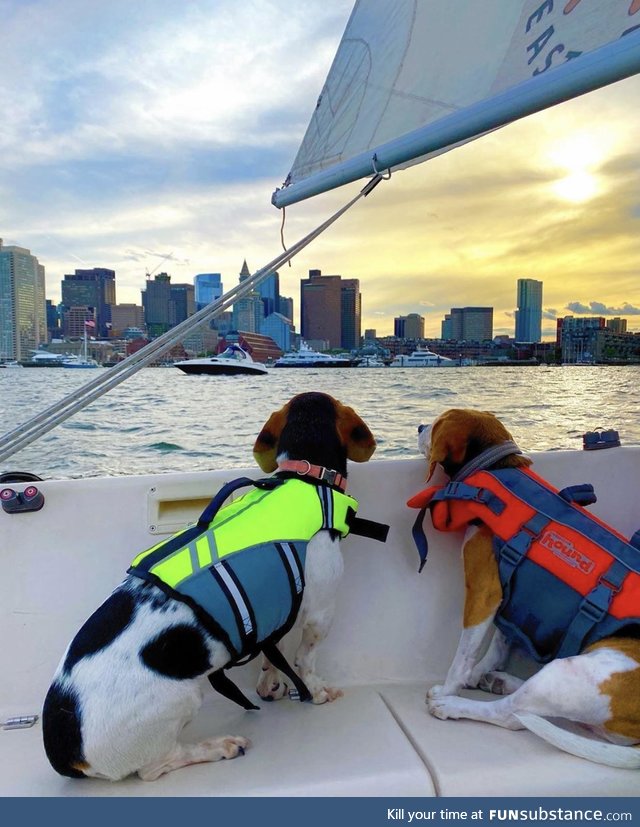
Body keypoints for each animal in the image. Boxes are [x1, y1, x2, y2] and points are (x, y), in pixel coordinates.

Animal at [418, 410, 636, 768]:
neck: (496, 466)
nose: (420, 426)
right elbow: (499, 641)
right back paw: (502, 681)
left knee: (512, 716)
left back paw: (453, 706)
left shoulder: (484, 591)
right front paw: (483, 672)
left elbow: (463, 655)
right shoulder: (508, 596)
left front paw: (451, 688)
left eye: (437, 423)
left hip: (570, 671)